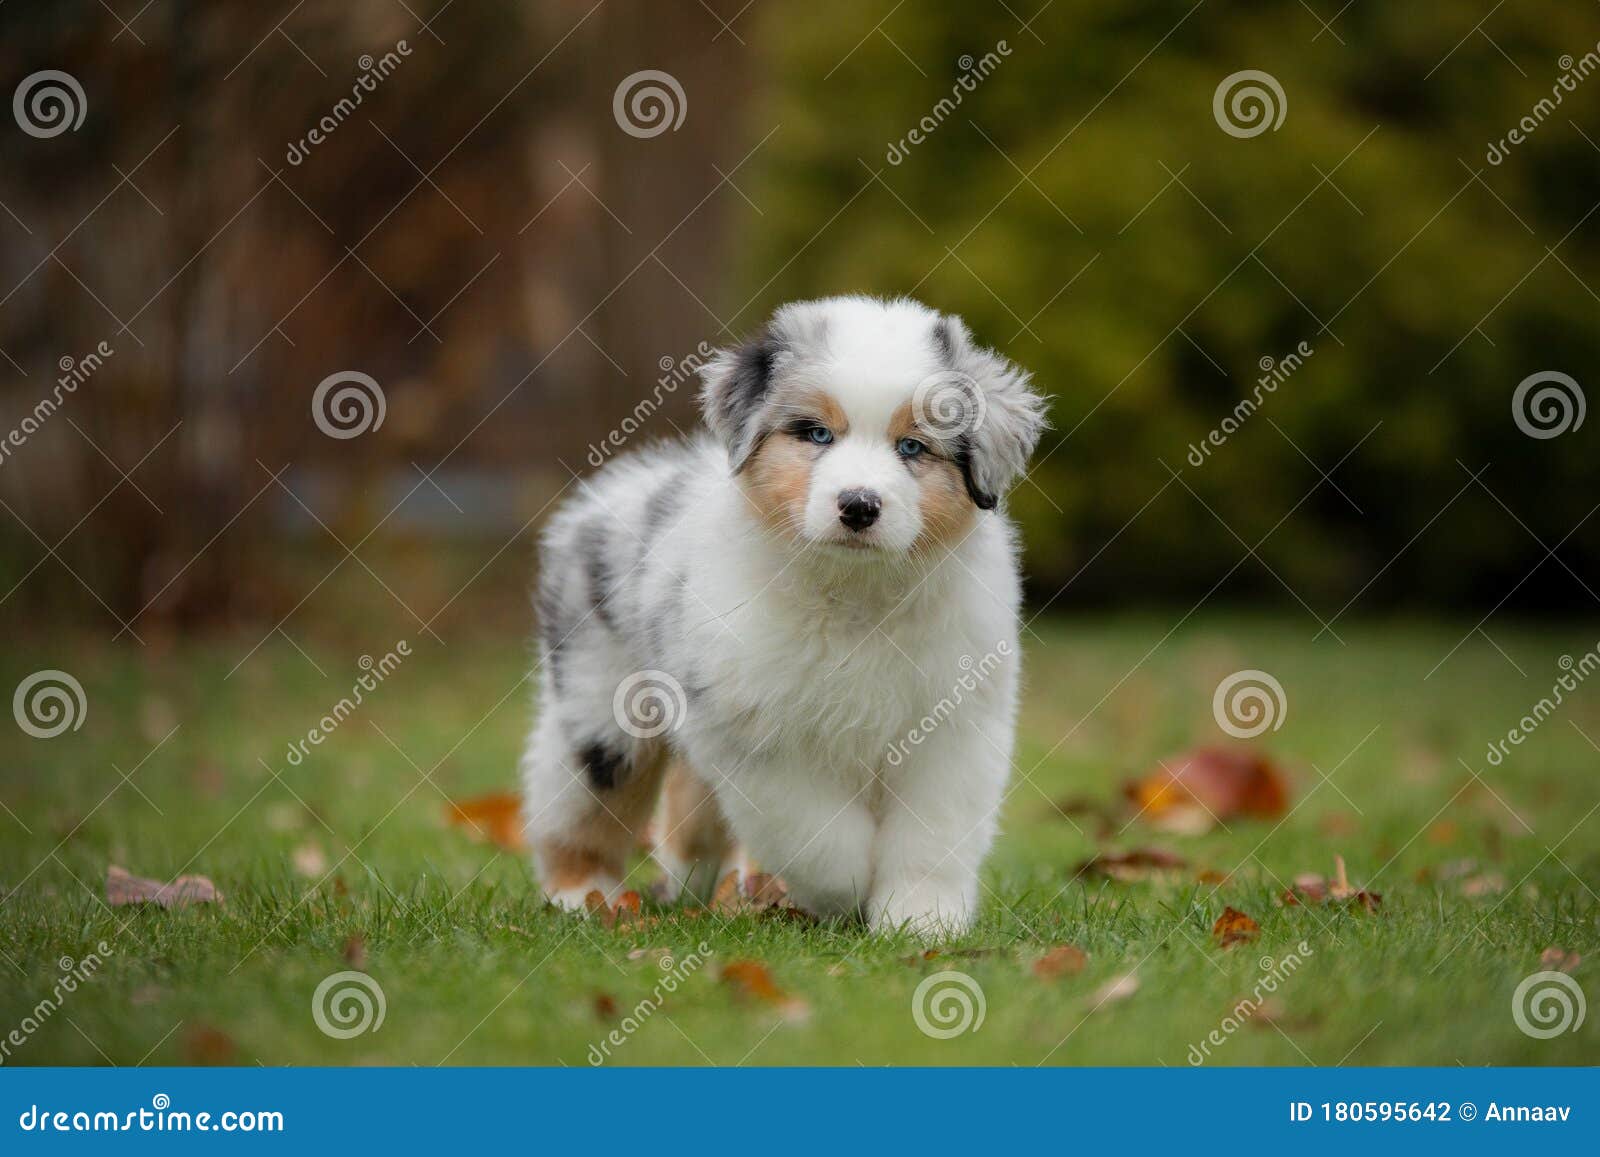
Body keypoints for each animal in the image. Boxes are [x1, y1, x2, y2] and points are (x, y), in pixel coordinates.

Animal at [521, 294, 1049, 934]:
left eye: (912, 447)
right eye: (816, 434)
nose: (859, 506)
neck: (855, 596)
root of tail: (608, 493)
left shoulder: (953, 725)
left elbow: (932, 835)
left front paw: (920, 921)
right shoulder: (758, 734)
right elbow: (817, 832)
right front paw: (847, 891)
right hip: (600, 708)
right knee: (574, 808)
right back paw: (582, 896)